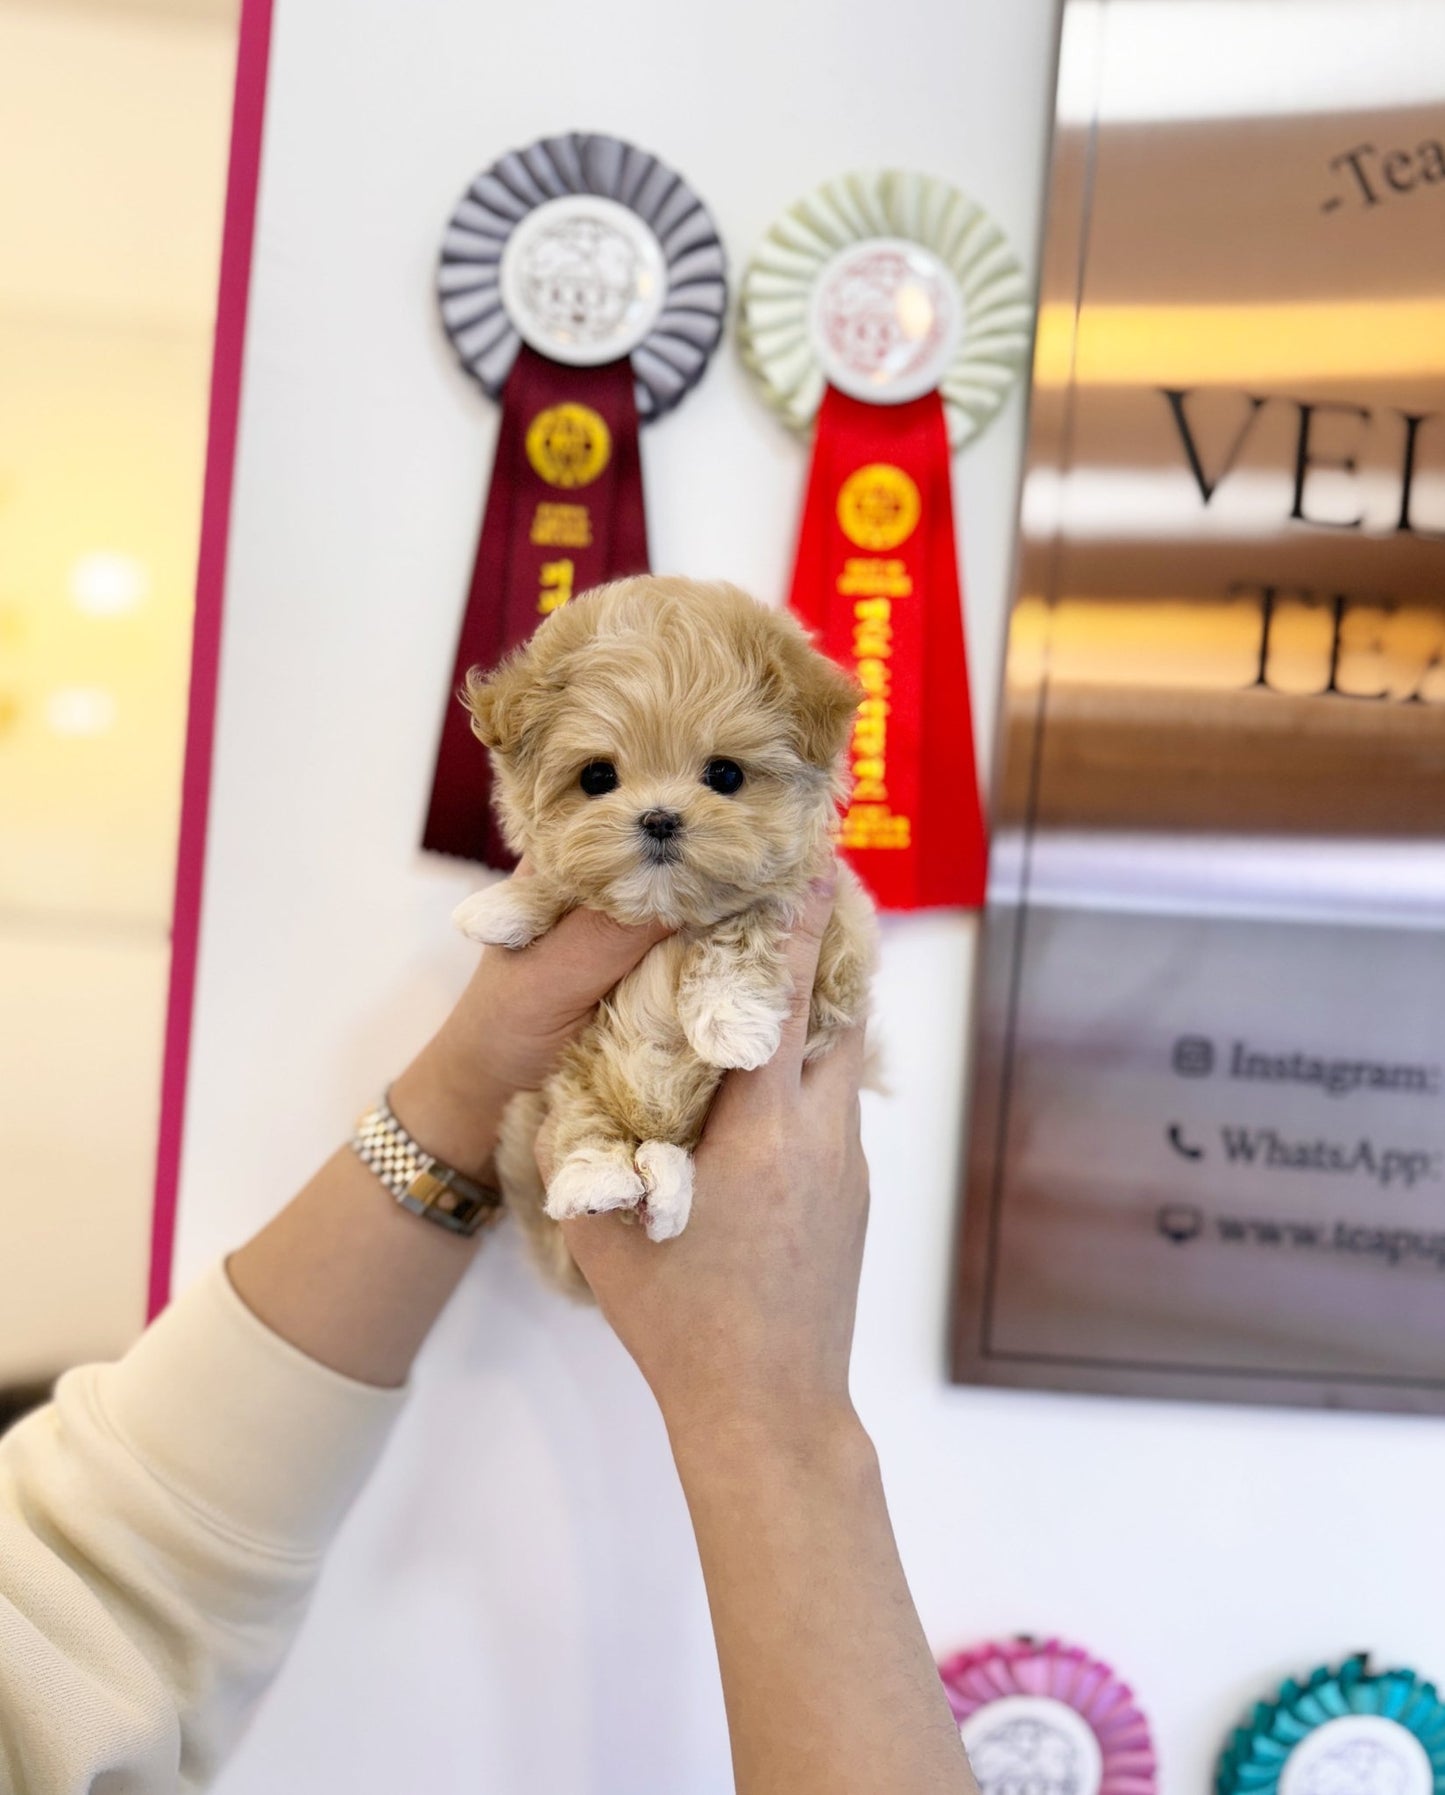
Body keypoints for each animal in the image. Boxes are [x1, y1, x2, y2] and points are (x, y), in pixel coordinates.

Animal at [455, 574, 872, 1292]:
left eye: (725, 774)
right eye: (597, 776)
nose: (658, 818)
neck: (667, 911)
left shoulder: (832, 931)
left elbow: (752, 919)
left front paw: (729, 1018)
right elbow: (561, 884)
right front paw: (504, 906)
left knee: (669, 1163)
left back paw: (666, 1191)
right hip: (565, 1078)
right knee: (585, 1125)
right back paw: (595, 1180)